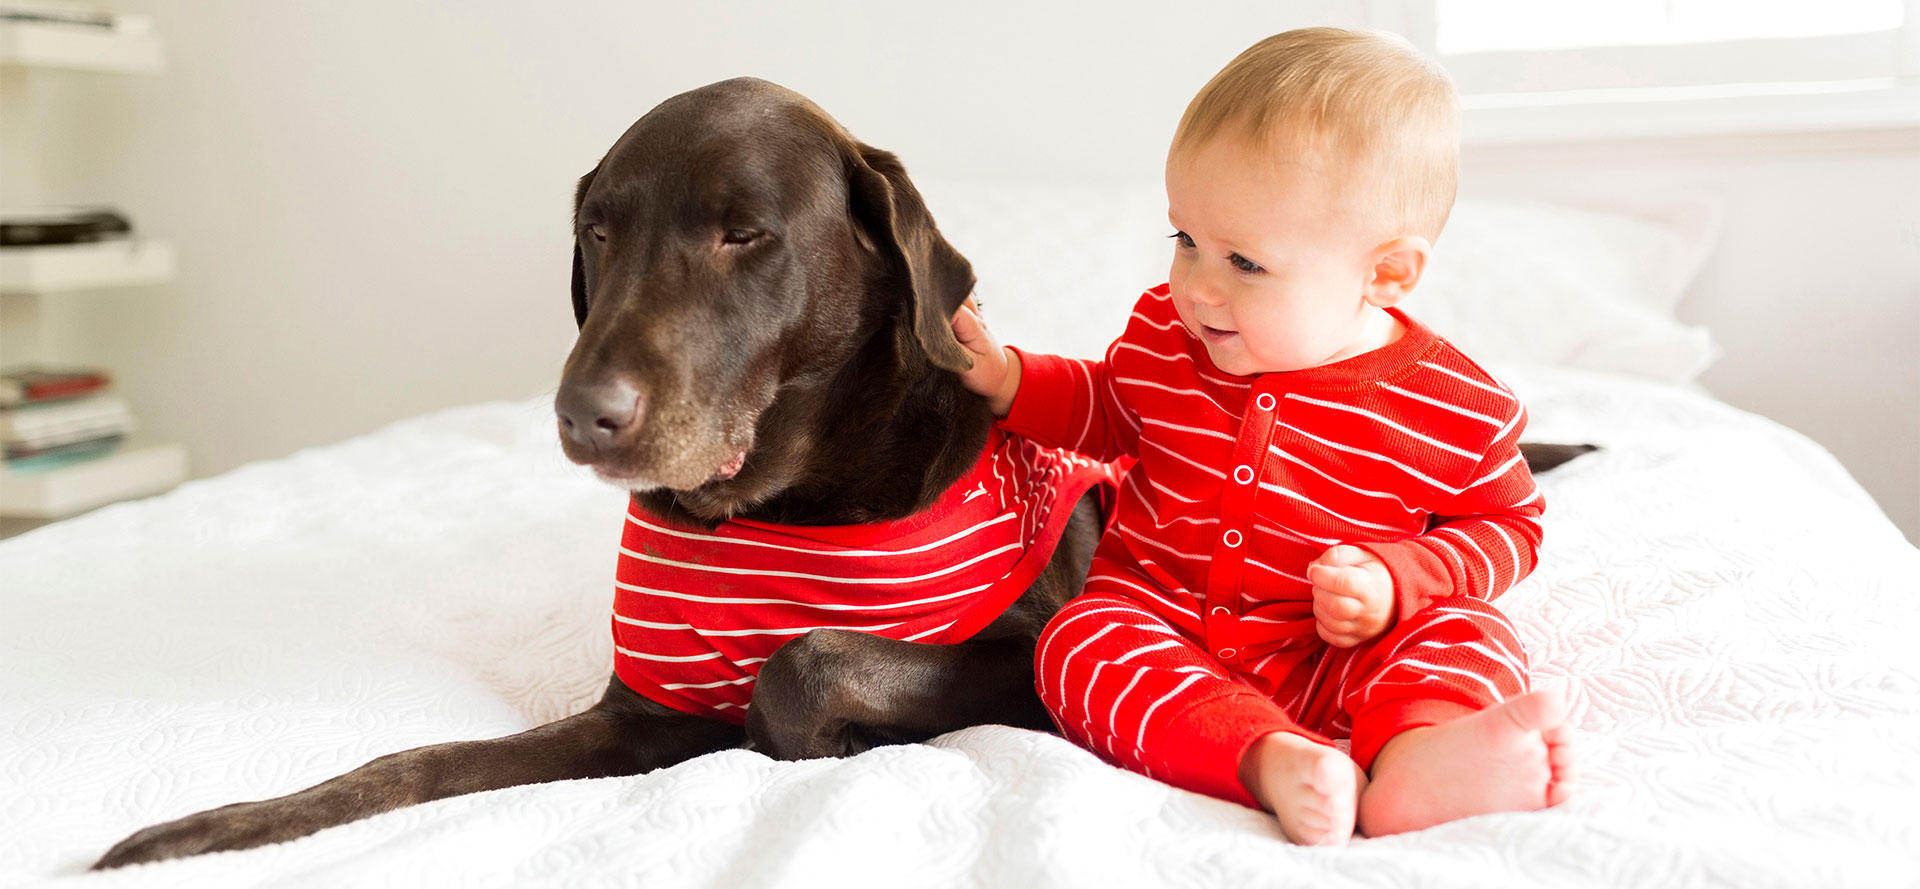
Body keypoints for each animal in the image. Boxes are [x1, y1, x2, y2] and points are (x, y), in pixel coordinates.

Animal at [93, 76, 1589, 871]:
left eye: (743, 232)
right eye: (598, 230)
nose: (584, 415)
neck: (782, 510)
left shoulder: (1014, 661)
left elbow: (804, 663)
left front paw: (804, 727)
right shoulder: (623, 713)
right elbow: (416, 758)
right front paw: (218, 825)